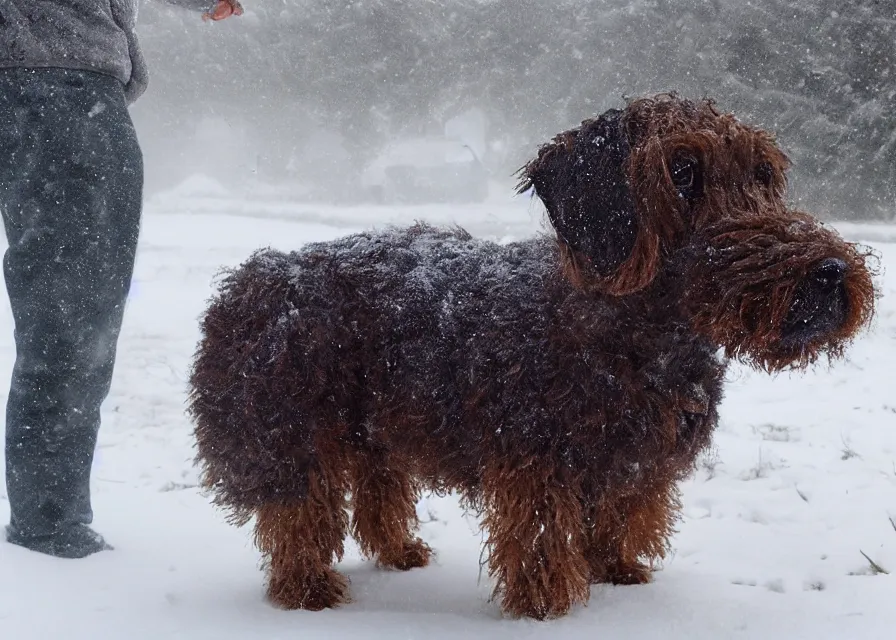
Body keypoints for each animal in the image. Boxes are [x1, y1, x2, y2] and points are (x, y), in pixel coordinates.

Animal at [187, 95, 876, 620]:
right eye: (682, 172)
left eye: (763, 173)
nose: (831, 274)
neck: (636, 338)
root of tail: (259, 277)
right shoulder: (535, 462)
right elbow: (540, 539)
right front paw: (549, 605)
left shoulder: (637, 463)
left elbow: (620, 516)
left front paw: (616, 570)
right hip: (294, 431)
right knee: (299, 516)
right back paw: (307, 588)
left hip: (379, 429)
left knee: (379, 498)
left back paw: (400, 550)